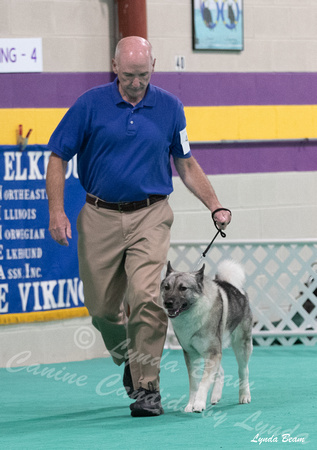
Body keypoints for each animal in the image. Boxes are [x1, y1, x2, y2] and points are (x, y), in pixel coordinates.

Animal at [160, 258, 252, 414]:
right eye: (166, 287)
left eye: (183, 288)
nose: (168, 303)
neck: (192, 313)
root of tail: (236, 289)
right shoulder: (192, 354)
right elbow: (194, 383)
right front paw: (191, 404)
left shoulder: (212, 353)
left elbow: (203, 382)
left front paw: (198, 404)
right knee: (220, 372)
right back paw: (215, 396)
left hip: (241, 346)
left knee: (243, 371)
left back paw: (244, 395)